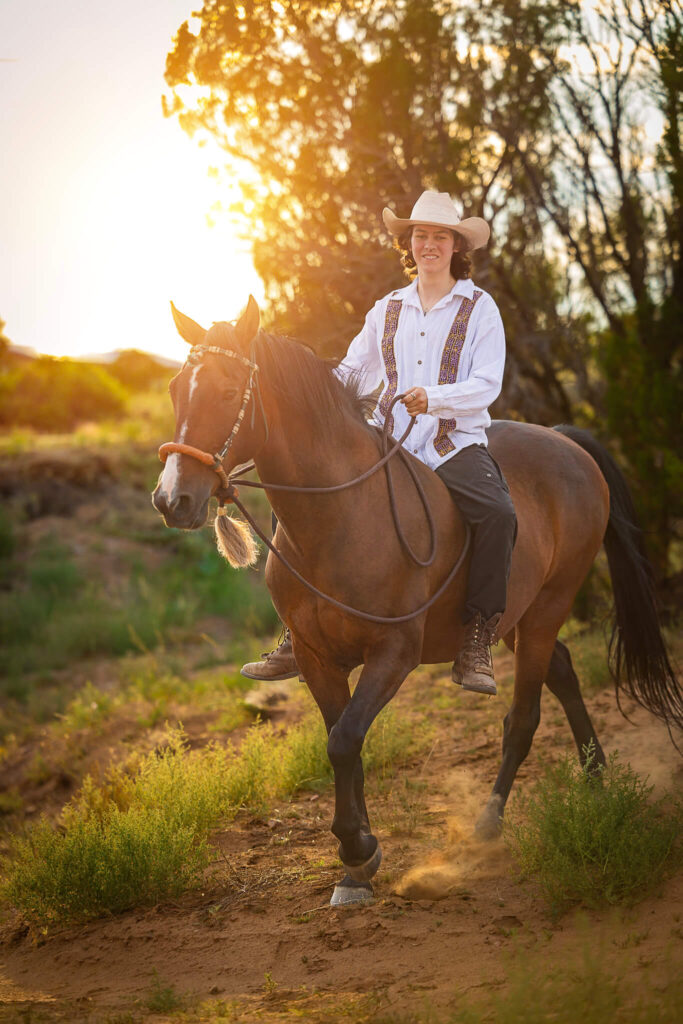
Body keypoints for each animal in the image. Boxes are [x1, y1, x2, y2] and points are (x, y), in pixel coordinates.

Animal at [152, 296, 679, 905]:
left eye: (226, 388)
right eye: (175, 389)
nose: (171, 500)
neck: (343, 516)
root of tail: (566, 441)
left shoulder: (394, 654)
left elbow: (344, 741)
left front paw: (358, 850)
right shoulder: (315, 658)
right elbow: (341, 743)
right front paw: (356, 863)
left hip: (548, 606)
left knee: (523, 717)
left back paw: (488, 825)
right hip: (517, 616)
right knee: (565, 671)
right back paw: (595, 779)